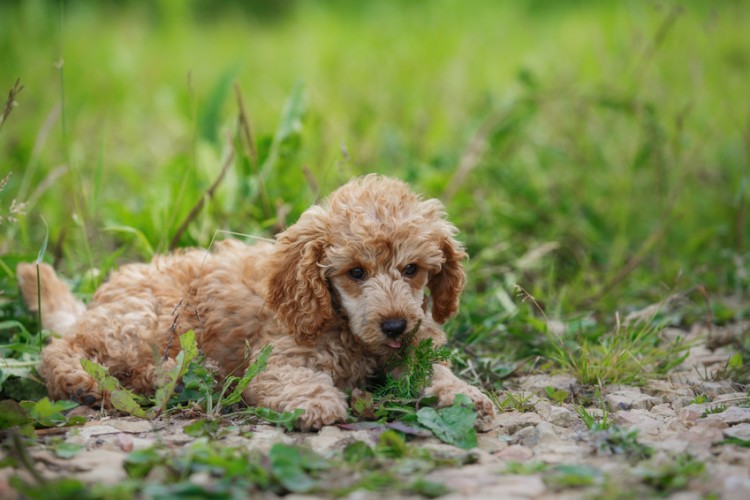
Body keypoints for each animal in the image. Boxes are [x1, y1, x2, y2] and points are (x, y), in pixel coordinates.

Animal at [16, 176, 500, 430]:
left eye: (412, 269)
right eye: (356, 273)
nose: (396, 326)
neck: (344, 325)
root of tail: (97, 303)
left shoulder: (414, 350)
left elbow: (433, 371)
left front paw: (465, 394)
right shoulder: (276, 360)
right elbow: (293, 382)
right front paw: (316, 403)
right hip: (146, 324)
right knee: (58, 351)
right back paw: (96, 382)